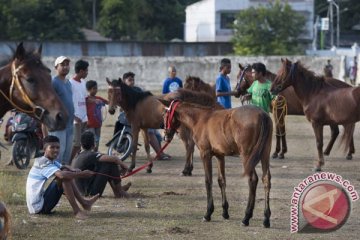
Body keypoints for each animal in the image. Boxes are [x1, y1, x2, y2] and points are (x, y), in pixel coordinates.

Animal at [159, 89, 272, 227]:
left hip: (246, 156)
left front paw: (208, 213)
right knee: (266, 179)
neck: (201, 118)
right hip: (264, 154)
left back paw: (246, 217)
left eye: (165, 114)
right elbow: (221, 180)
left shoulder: (205, 154)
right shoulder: (220, 156)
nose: (166, 136)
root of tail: (262, 114)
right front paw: (225, 212)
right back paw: (266, 219)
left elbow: (208, 181)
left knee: (253, 179)